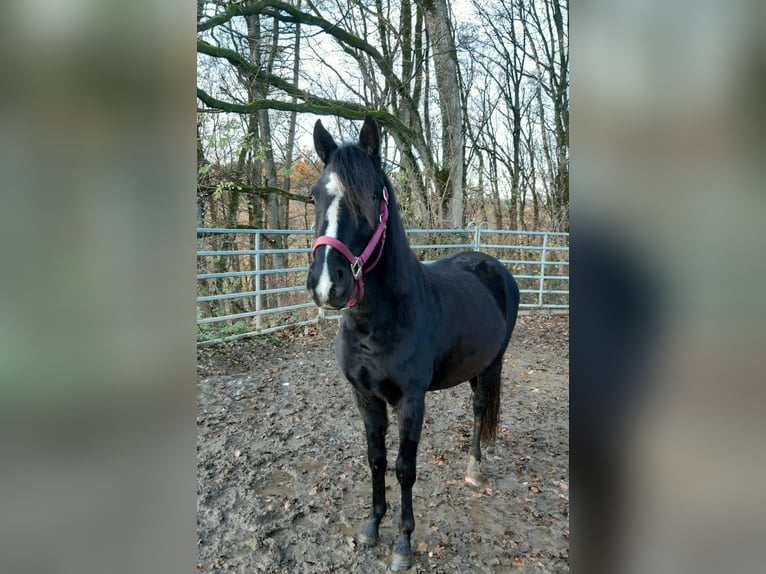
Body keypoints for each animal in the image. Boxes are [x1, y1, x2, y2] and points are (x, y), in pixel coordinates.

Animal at [306, 115, 520, 571]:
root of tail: (492, 265)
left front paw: (403, 543)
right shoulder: (365, 397)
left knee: (480, 408)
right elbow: (376, 460)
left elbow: (405, 468)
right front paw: (372, 525)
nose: (328, 284)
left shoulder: (411, 400)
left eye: (371, 196)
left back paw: (474, 468)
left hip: (493, 364)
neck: (380, 323)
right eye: (315, 195)